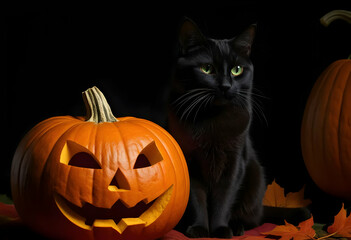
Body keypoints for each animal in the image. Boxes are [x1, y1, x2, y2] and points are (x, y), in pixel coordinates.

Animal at [168, 18, 266, 238]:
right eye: (207, 68)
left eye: (236, 70)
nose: (225, 86)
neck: (213, 119)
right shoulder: (189, 161)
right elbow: (196, 199)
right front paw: (199, 229)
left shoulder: (235, 163)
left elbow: (224, 199)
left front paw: (221, 229)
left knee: (252, 219)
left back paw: (237, 227)